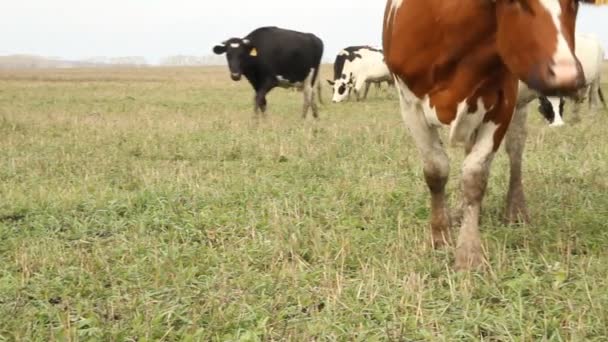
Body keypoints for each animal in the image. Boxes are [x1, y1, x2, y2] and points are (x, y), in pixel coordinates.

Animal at [384, 0, 600, 272]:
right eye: (518, 3)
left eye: (574, 4)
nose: (567, 76)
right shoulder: (409, 102)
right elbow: (436, 171)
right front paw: (440, 235)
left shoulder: (504, 101)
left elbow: (475, 176)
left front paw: (468, 253)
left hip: (520, 104)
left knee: (515, 151)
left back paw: (515, 210)